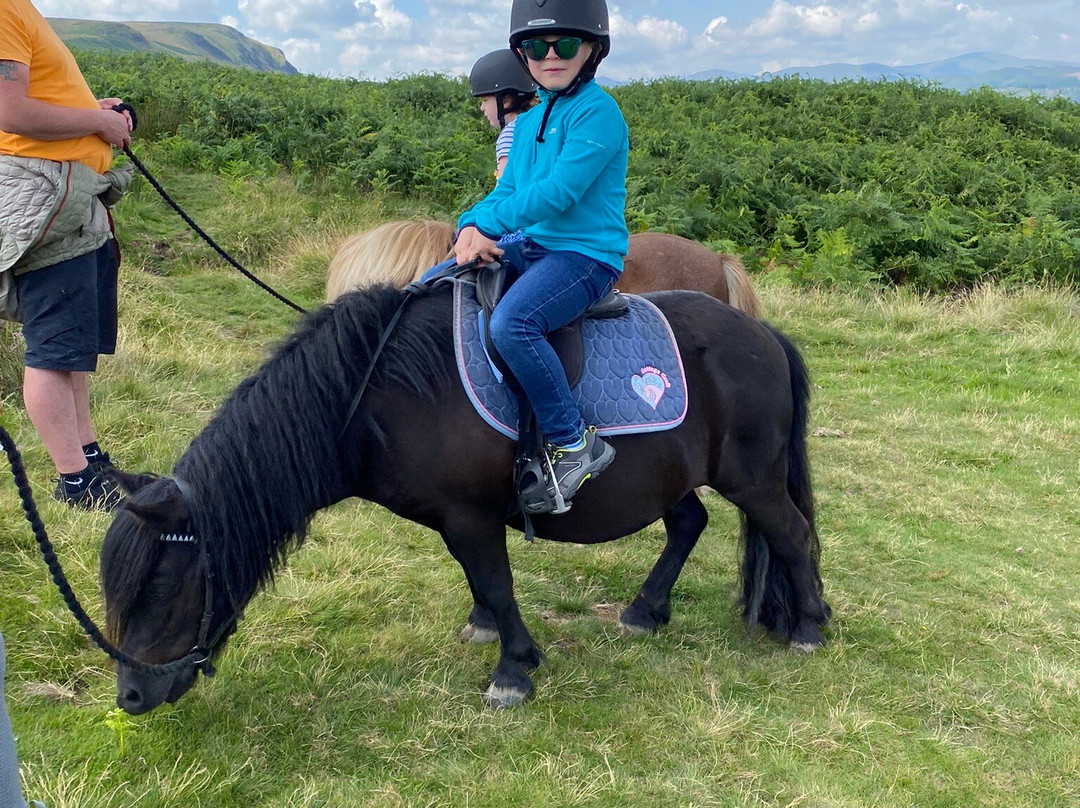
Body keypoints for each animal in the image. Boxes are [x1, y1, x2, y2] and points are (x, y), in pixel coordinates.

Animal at [101, 283, 829, 712]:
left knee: (793, 536)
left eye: (160, 586)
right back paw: (646, 611)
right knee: (689, 523)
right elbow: (481, 584)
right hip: (668, 476)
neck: (378, 397)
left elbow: (499, 585)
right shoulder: (459, 522)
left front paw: (513, 670)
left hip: (753, 479)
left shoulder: (470, 517)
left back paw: (810, 629)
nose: (131, 694)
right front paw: (487, 631)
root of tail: (765, 334)